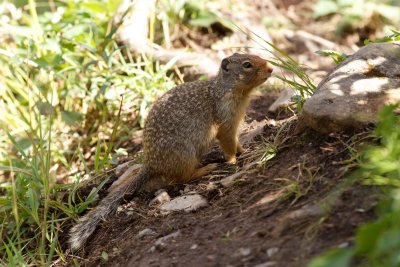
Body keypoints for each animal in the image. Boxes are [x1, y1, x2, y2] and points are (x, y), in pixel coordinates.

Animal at [70, 52, 274, 251]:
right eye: (247, 64)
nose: (271, 68)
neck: (227, 90)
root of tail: (151, 164)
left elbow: (236, 142)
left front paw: (244, 149)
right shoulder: (226, 123)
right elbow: (228, 143)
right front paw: (233, 159)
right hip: (185, 154)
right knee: (182, 178)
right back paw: (205, 169)